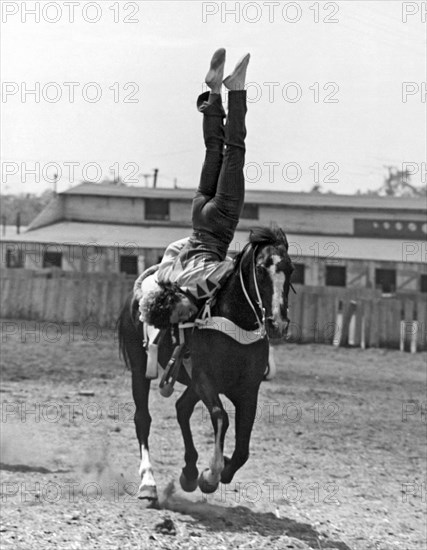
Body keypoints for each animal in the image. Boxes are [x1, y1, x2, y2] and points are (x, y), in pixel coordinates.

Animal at [118, 226, 296, 506]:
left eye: (291, 269)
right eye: (259, 268)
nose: (277, 322)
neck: (234, 323)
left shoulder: (248, 391)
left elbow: (243, 448)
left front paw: (215, 470)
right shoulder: (205, 380)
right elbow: (221, 417)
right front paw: (211, 475)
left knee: (181, 409)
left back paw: (189, 473)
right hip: (140, 370)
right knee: (143, 418)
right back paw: (149, 482)